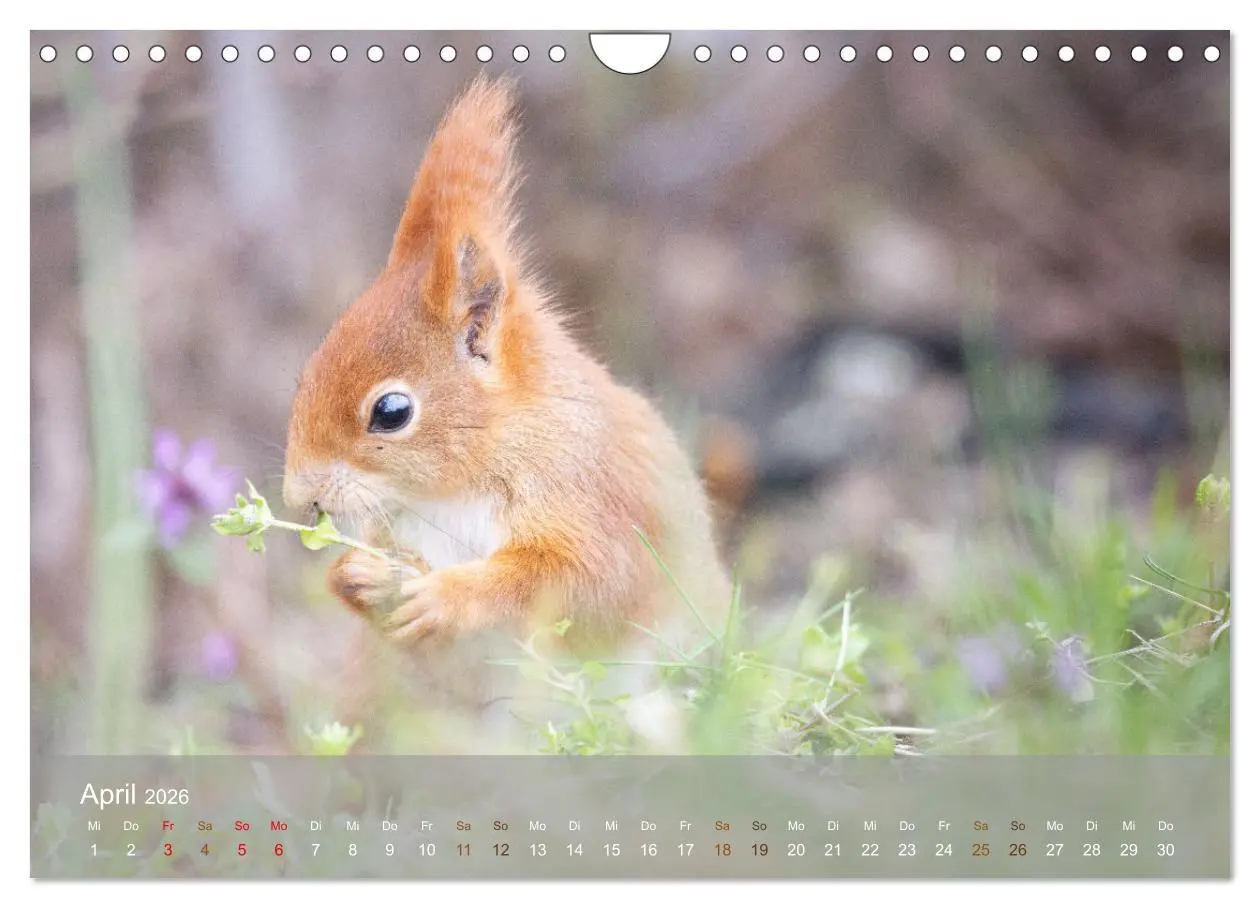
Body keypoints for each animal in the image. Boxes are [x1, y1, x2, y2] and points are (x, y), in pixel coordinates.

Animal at [282, 75, 731, 742]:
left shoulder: (595, 500)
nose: (297, 498)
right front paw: (356, 576)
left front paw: (447, 597)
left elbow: (584, 580)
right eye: (309, 370)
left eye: (391, 412)